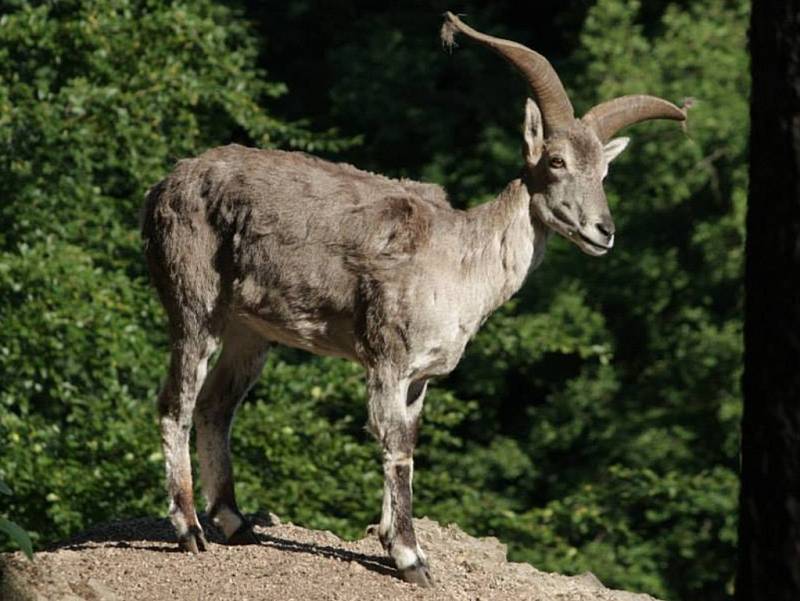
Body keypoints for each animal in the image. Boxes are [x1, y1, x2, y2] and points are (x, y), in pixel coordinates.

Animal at [141, 12, 684, 584]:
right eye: (556, 161)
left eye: (604, 171)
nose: (604, 231)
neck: (461, 262)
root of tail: (162, 188)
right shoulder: (388, 360)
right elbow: (395, 447)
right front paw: (410, 557)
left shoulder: (420, 377)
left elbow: (408, 442)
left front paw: (391, 542)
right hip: (195, 304)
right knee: (175, 401)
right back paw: (189, 530)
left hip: (250, 331)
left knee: (216, 406)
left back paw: (236, 523)